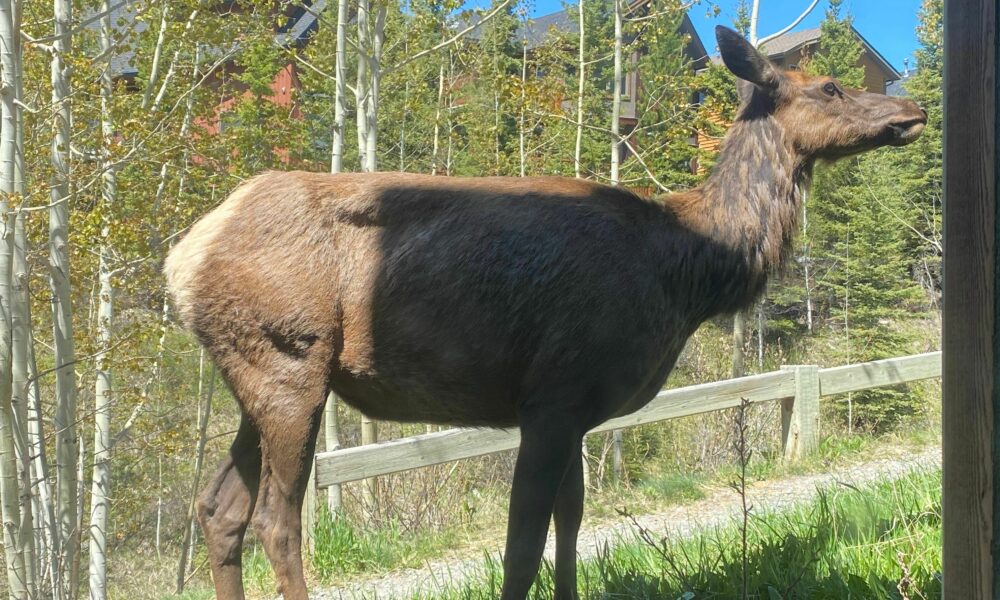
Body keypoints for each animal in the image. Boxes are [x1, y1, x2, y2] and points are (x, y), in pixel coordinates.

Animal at [162, 27, 920, 600]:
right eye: (829, 87)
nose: (910, 109)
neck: (688, 270)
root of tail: (182, 259)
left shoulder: (578, 407)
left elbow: (572, 526)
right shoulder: (552, 395)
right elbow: (521, 546)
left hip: (257, 374)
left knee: (220, 509)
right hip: (288, 360)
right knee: (276, 518)